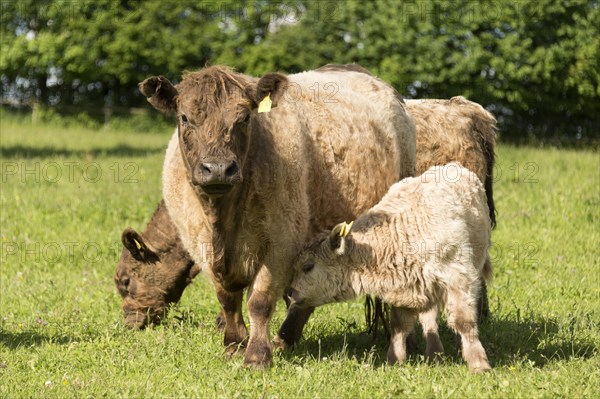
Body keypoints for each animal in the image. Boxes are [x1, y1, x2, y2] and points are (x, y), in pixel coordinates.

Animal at [139, 65, 418, 368]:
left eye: (244, 118)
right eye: (185, 117)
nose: (218, 169)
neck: (222, 220)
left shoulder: (281, 243)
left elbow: (259, 301)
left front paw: (257, 355)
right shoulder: (199, 245)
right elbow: (227, 299)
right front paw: (234, 344)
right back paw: (285, 338)